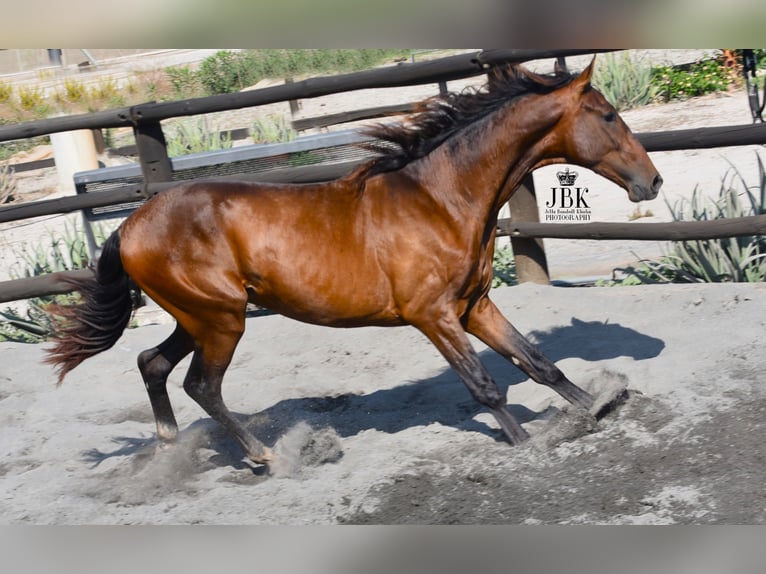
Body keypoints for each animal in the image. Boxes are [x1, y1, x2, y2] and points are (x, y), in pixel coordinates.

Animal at [45, 58, 664, 466]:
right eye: (607, 116)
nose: (652, 182)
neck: (441, 198)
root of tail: (129, 225)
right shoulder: (432, 315)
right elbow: (486, 385)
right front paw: (527, 442)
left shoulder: (473, 306)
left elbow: (538, 363)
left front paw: (601, 405)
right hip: (220, 321)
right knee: (202, 386)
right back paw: (265, 457)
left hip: (198, 317)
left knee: (151, 362)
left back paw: (170, 450)